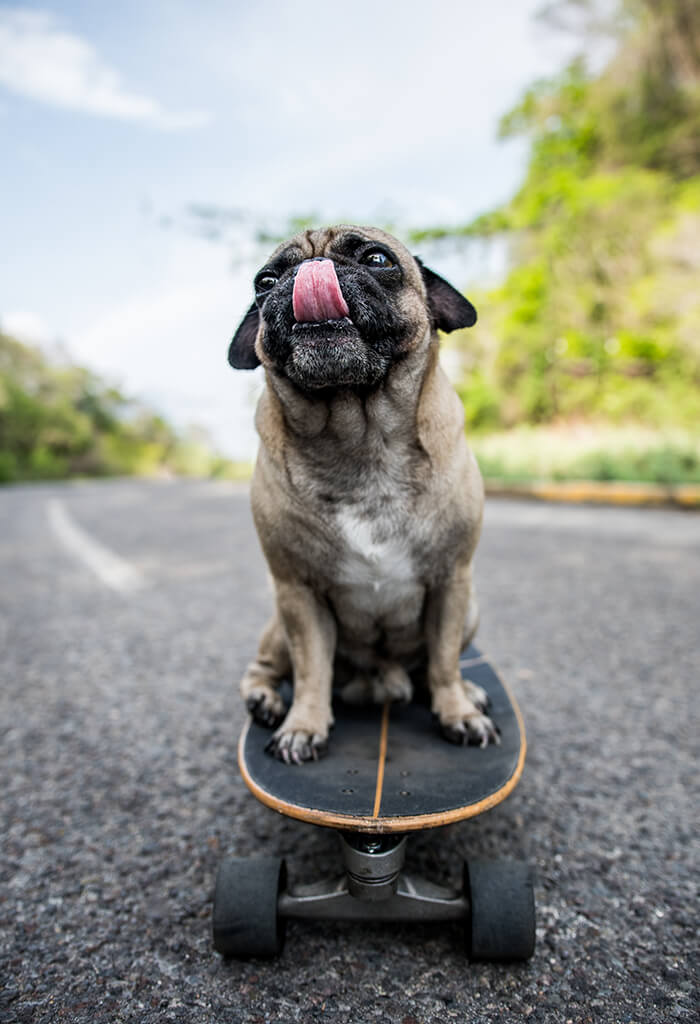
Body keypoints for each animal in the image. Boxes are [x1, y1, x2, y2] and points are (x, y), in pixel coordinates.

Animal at [227, 228, 495, 765]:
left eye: (377, 259)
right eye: (264, 282)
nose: (307, 271)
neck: (360, 439)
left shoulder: (452, 583)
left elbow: (444, 660)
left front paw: (457, 711)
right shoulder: (299, 593)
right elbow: (312, 668)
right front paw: (303, 726)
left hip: (470, 609)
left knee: (434, 667)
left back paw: (466, 693)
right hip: (279, 622)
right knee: (267, 666)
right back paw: (265, 699)